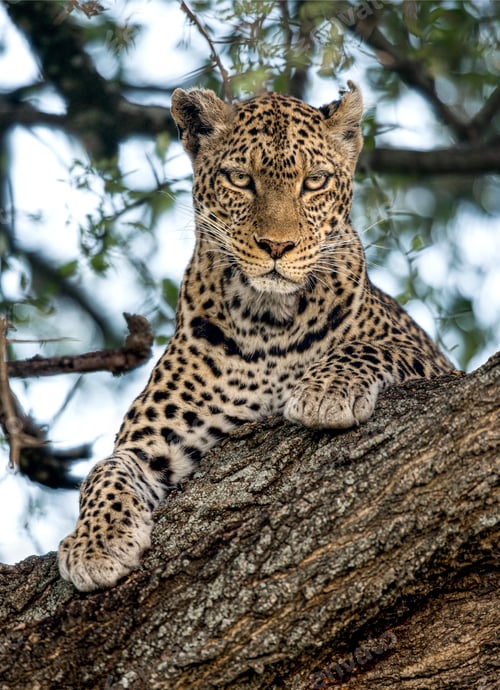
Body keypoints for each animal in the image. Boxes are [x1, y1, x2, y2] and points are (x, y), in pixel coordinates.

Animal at [58, 82, 453, 591]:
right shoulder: (149, 444)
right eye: (240, 179)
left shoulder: (434, 363)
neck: (270, 321)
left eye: (314, 181)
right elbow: (105, 470)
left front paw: (324, 390)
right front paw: (95, 544)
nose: (277, 246)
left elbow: (372, 347)